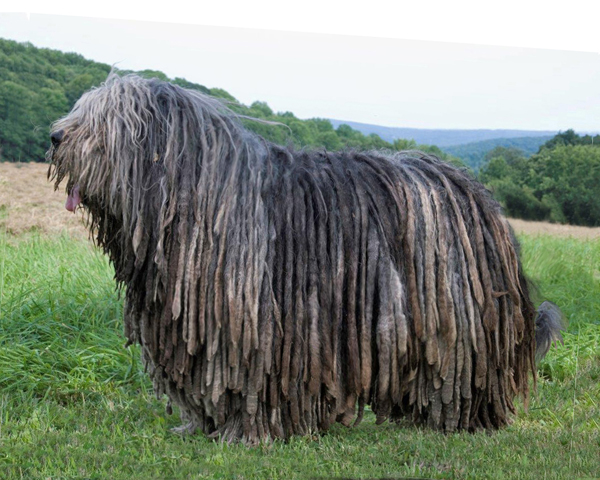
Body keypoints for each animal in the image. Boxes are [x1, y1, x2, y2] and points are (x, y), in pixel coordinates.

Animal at [49, 75, 564, 446]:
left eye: (101, 121)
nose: (54, 136)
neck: (202, 193)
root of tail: (479, 197)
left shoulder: (256, 326)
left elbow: (252, 384)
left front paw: (246, 433)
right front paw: (201, 425)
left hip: (459, 318)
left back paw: (463, 419)